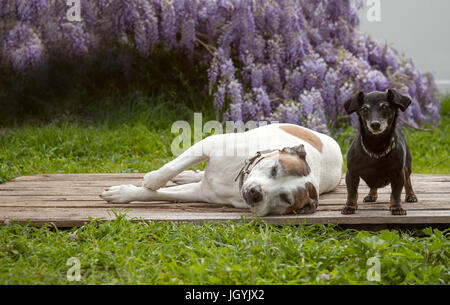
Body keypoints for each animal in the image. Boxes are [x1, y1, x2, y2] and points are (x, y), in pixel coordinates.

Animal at [100, 123, 342, 216]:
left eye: (286, 199)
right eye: (274, 169)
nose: (256, 193)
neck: (238, 179)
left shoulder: (200, 193)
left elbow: (156, 195)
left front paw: (123, 194)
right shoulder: (209, 145)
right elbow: (173, 166)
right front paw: (152, 179)